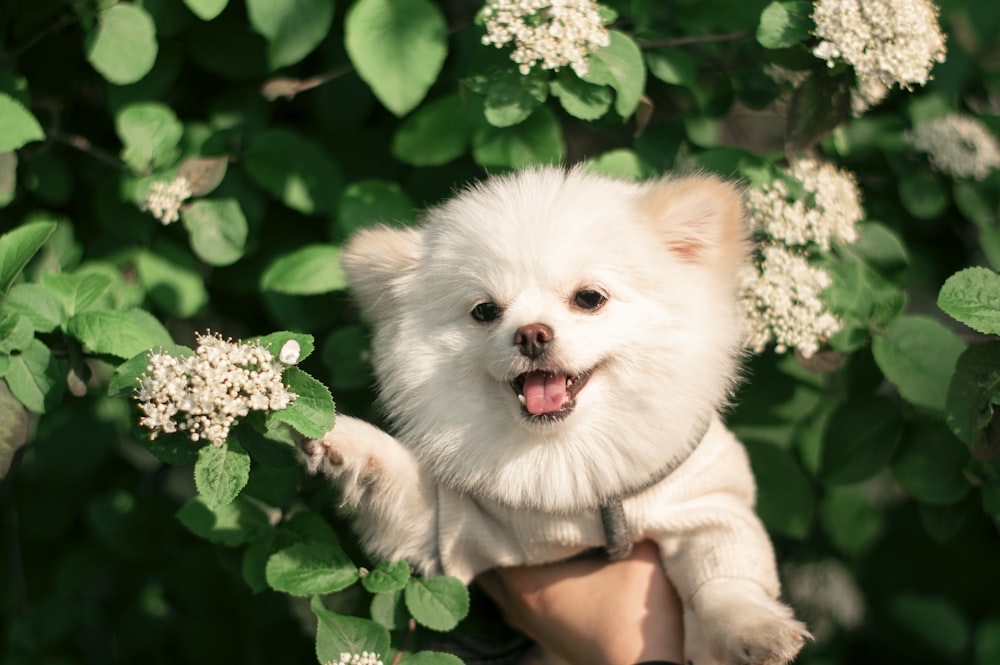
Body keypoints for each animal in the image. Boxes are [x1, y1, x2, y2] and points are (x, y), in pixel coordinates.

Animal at [300, 163, 808, 660]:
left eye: (589, 298)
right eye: (484, 311)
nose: (531, 334)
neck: (569, 451)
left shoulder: (707, 506)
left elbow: (725, 582)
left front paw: (757, 629)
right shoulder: (454, 530)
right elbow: (404, 483)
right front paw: (347, 442)